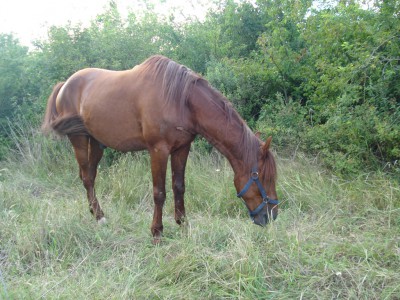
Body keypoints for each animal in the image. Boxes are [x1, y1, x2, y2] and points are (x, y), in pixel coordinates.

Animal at [40, 55, 278, 244]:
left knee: (90, 175)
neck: (181, 100)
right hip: (79, 139)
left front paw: (183, 224)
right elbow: (159, 192)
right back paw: (99, 217)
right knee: (87, 178)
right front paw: (156, 232)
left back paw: (96, 213)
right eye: (261, 177)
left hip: (97, 142)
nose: (272, 215)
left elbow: (179, 187)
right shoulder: (158, 150)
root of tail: (65, 84)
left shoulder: (182, 148)